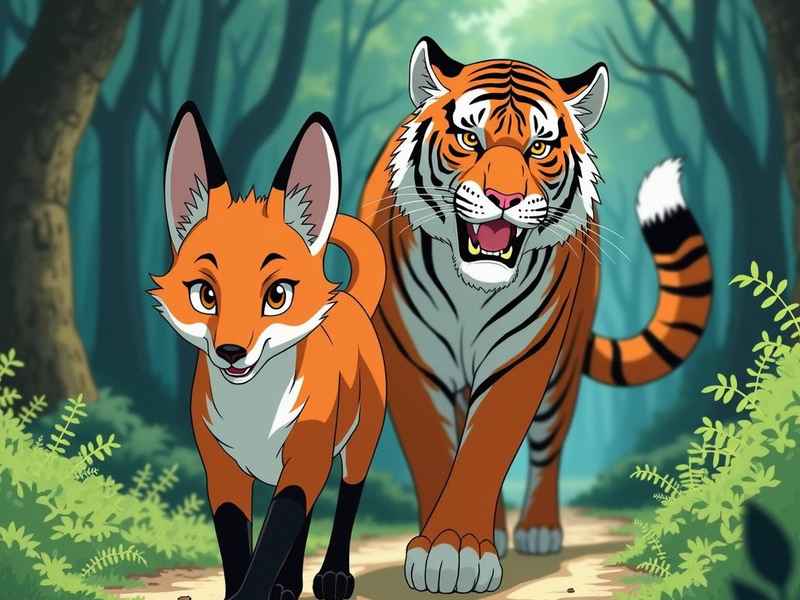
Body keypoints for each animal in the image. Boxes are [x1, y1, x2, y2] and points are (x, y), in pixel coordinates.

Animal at [356, 37, 712, 594]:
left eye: (539, 147)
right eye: (469, 138)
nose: (504, 199)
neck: (471, 290)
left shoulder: (523, 357)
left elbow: (484, 450)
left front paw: (456, 548)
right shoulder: (412, 361)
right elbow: (439, 455)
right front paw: (447, 548)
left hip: (563, 368)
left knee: (547, 444)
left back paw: (537, 531)